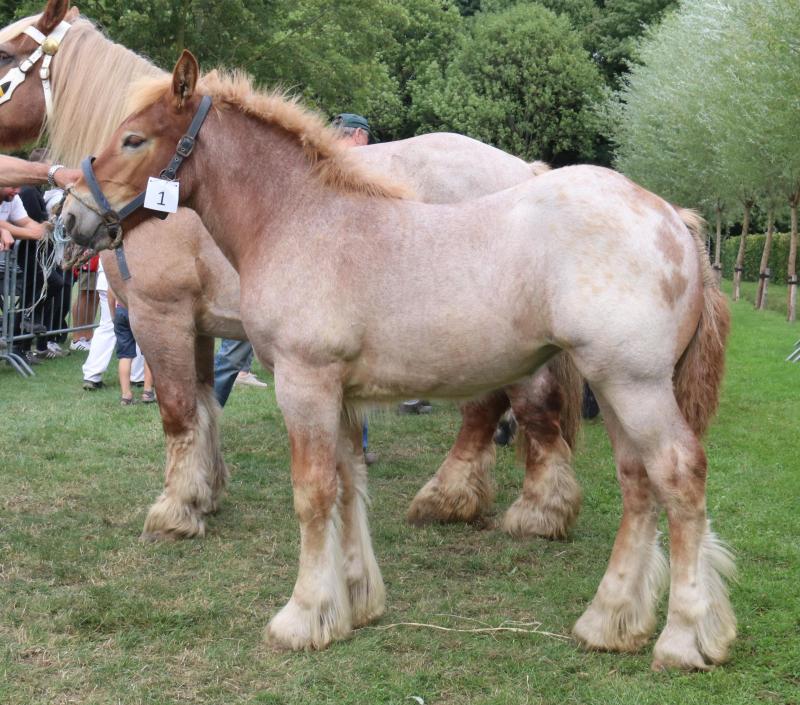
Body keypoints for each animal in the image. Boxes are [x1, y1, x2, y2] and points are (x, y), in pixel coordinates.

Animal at [1, 0, 588, 540]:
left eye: (7, 54)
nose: (70, 217)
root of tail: (525, 169)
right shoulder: (199, 325)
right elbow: (205, 405)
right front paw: (205, 494)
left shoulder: (159, 315)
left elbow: (177, 410)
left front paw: (175, 510)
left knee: (510, 405)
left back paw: (486, 502)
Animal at [64, 51, 736, 672]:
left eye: (133, 138)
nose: (71, 216)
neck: (301, 222)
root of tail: (674, 218)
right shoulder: (338, 394)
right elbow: (347, 485)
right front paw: (353, 603)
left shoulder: (303, 384)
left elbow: (312, 493)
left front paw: (302, 615)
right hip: (617, 387)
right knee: (637, 482)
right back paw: (610, 620)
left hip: (634, 384)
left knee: (678, 475)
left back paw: (681, 639)